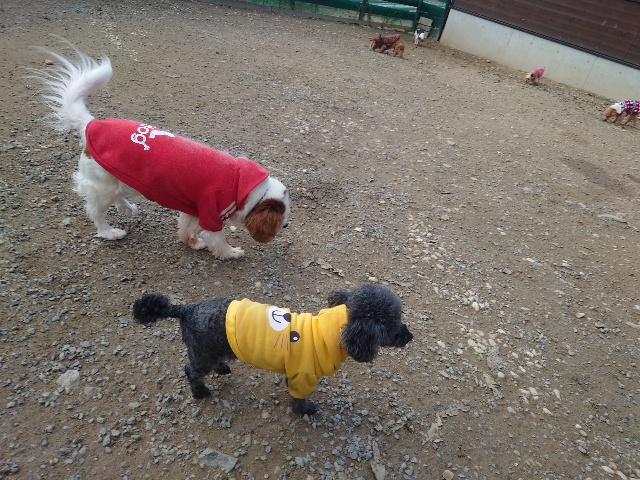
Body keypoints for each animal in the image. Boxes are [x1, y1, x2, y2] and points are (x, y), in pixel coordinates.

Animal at [30, 41, 290, 260]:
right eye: (283, 216)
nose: (287, 225)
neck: (243, 188)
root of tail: (92, 124)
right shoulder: (210, 214)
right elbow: (217, 240)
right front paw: (232, 252)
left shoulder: (193, 209)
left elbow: (186, 229)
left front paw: (192, 242)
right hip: (101, 187)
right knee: (96, 212)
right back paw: (110, 232)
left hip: (120, 179)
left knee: (118, 196)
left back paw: (128, 209)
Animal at [133, 283, 413, 415]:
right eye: (392, 327)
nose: (410, 336)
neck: (332, 333)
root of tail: (186, 309)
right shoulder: (304, 378)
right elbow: (299, 400)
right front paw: (305, 412)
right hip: (202, 354)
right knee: (191, 371)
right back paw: (200, 392)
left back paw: (222, 368)